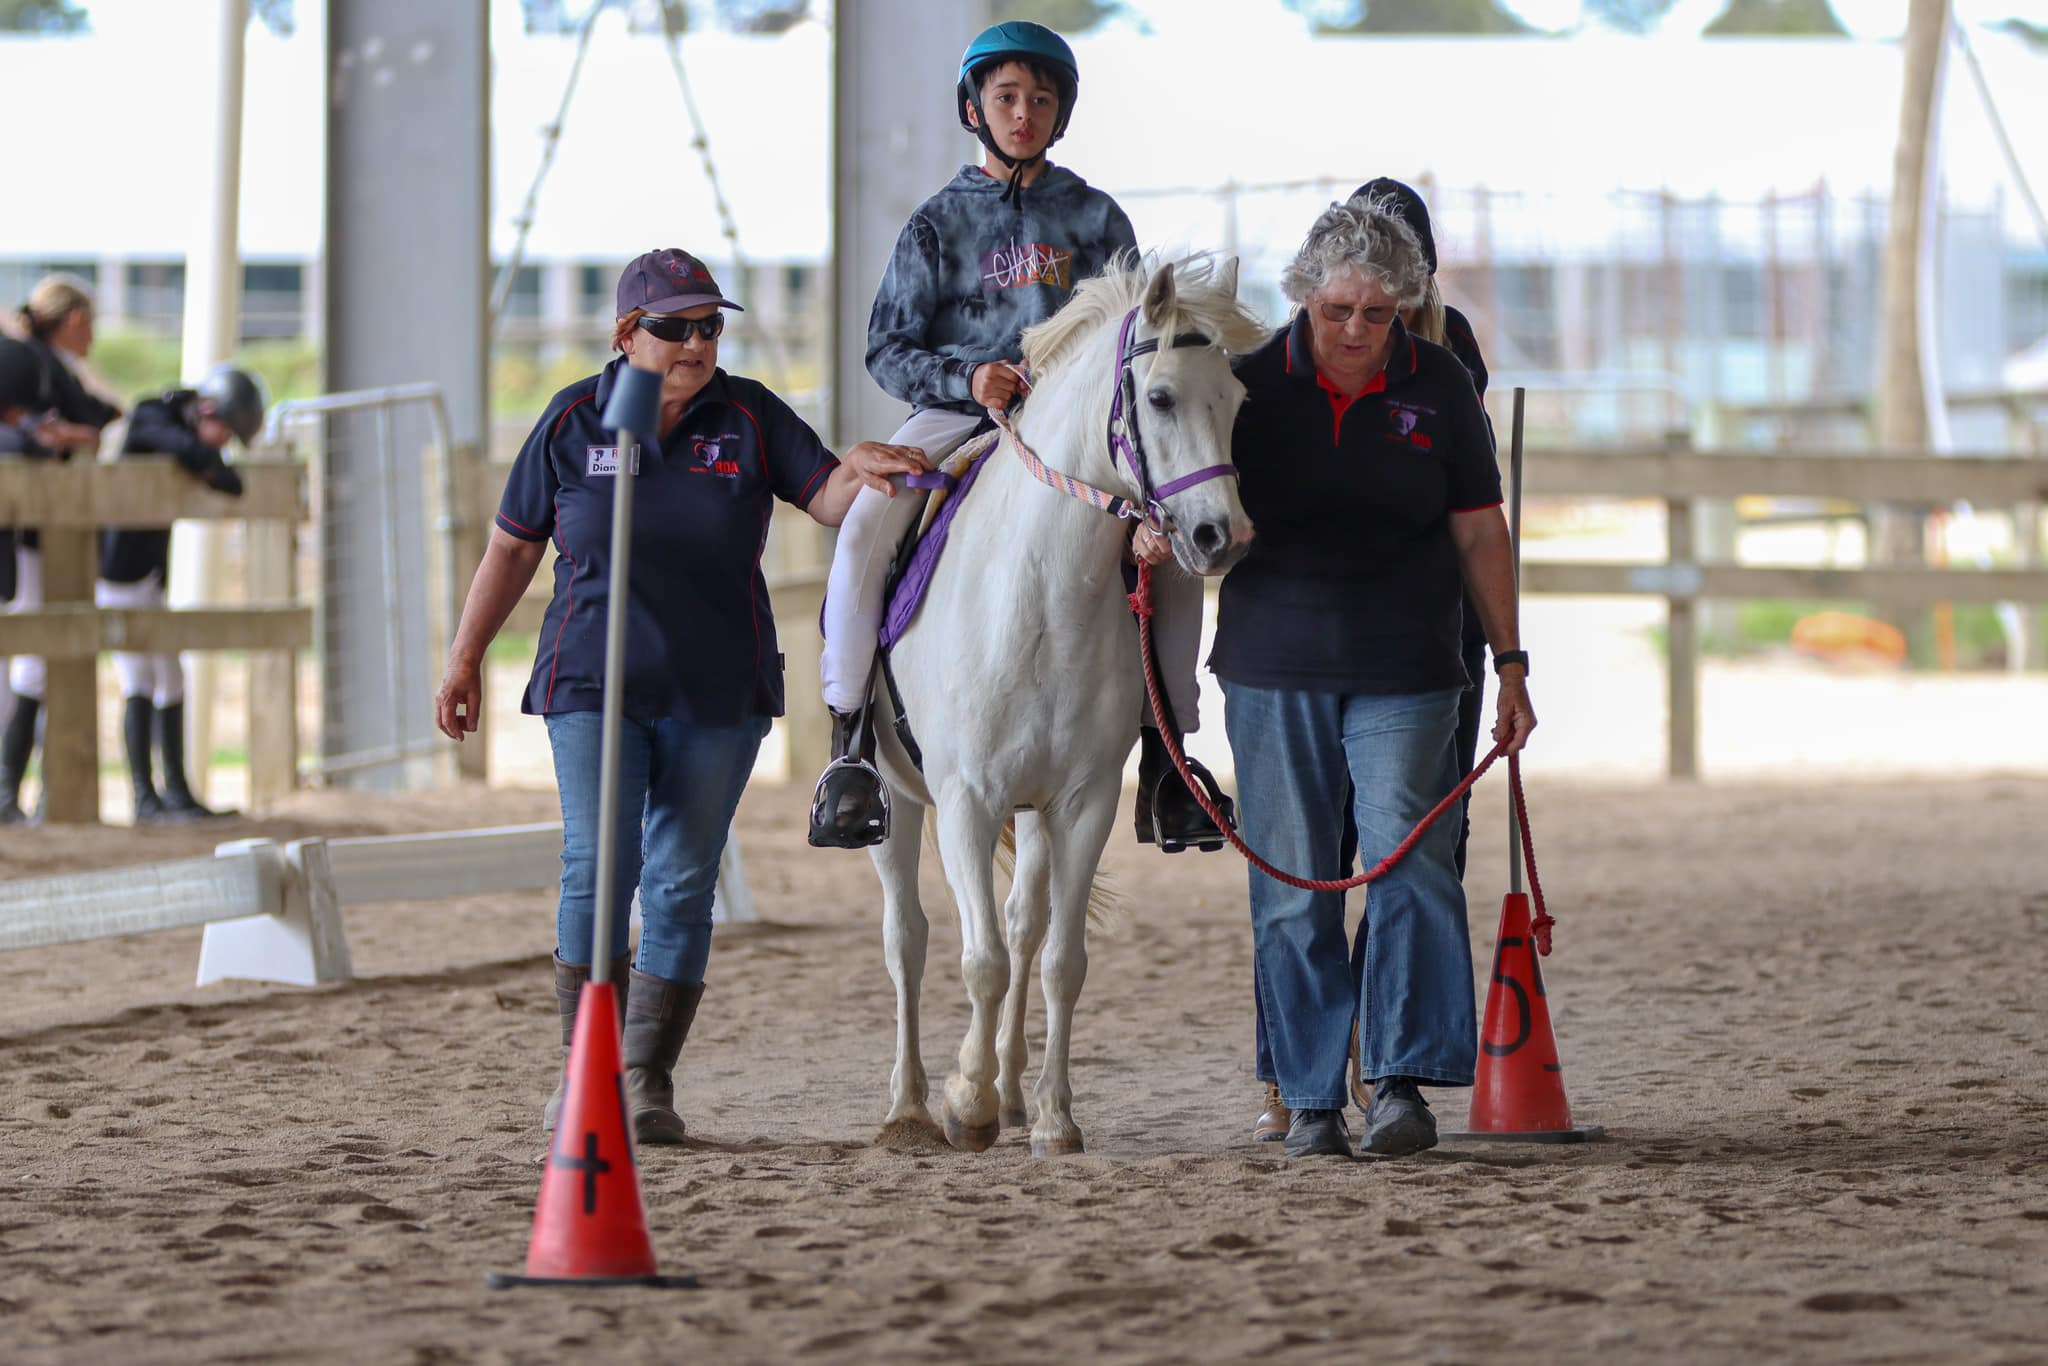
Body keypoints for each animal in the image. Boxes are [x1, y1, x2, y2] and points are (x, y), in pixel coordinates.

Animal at [870, 254, 1270, 1156]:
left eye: (1235, 402)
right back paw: (909, 1107)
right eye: (1160, 397)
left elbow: (1059, 959)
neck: (1039, 594)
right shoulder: (966, 802)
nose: (1219, 537)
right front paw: (967, 1104)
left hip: (1035, 808)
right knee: (907, 938)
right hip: (896, 798)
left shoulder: (1081, 802)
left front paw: (1051, 1115)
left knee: (1024, 924)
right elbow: (976, 958)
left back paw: (1013, 1092)